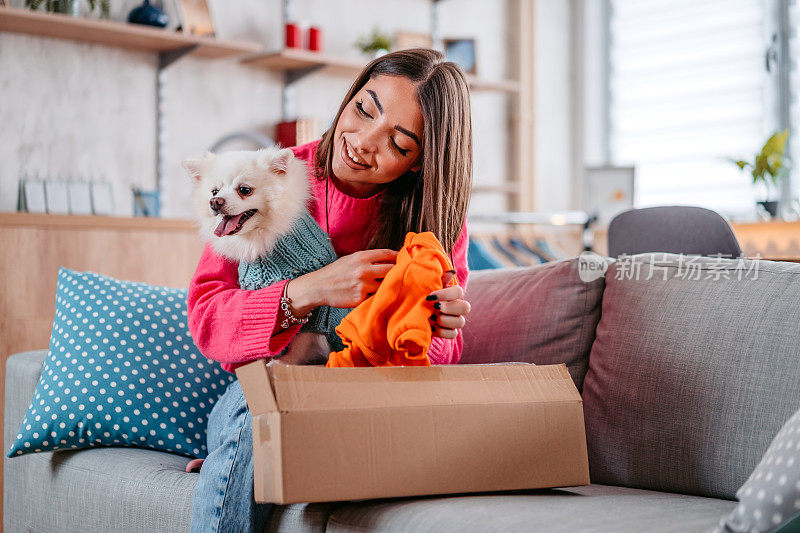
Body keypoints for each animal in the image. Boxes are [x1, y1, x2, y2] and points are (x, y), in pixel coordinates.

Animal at [184, 144, 334, 366]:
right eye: (214, 191)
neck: (259, 237)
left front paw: (283, 362)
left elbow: (301, 342)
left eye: (244, 190)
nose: (215, 202)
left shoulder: (315, 315)